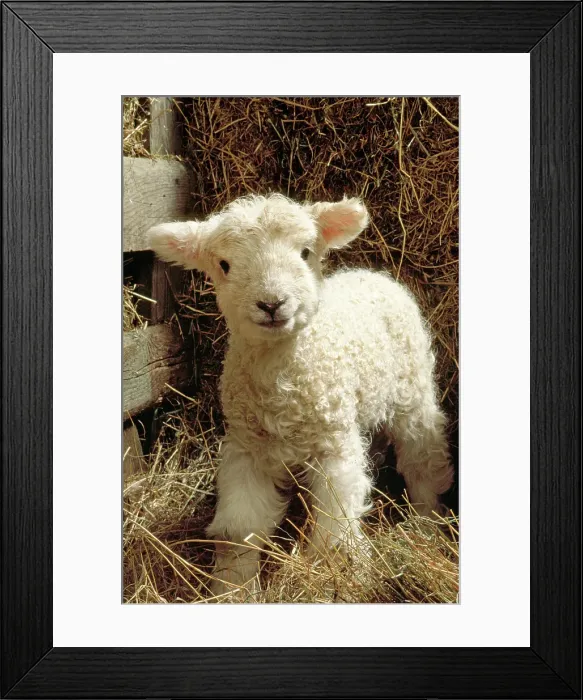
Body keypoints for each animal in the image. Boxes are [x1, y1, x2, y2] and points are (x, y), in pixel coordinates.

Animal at [148, 194, 452, 597]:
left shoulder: (333, 447)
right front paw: (233, 589)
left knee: (423, 460)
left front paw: (332, 579)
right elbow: (238, 530)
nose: (271, 303)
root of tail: (371, 274)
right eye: (225, 264)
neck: (284, 384)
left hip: (412, 392)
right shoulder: (247, 449)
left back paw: (424, 524)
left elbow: (335, 527)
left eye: (306, 252)